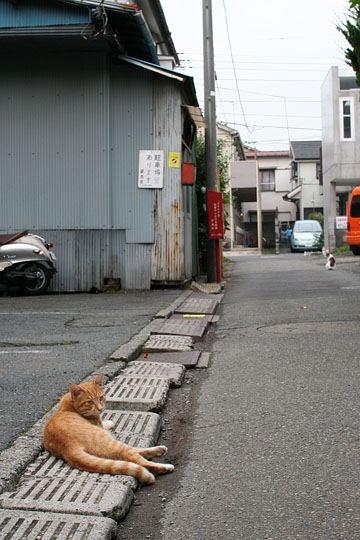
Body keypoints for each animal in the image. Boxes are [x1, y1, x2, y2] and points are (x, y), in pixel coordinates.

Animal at [44, 376, 174, 486]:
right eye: (89, 402)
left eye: (101, 397)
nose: (100, 408)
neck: (70, 405)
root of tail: (67, 448)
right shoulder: (98, 425)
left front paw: (108, 422)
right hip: (110, 442)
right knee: (134, 457)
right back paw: (165, 465)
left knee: (133, 452)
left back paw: (160, 450)